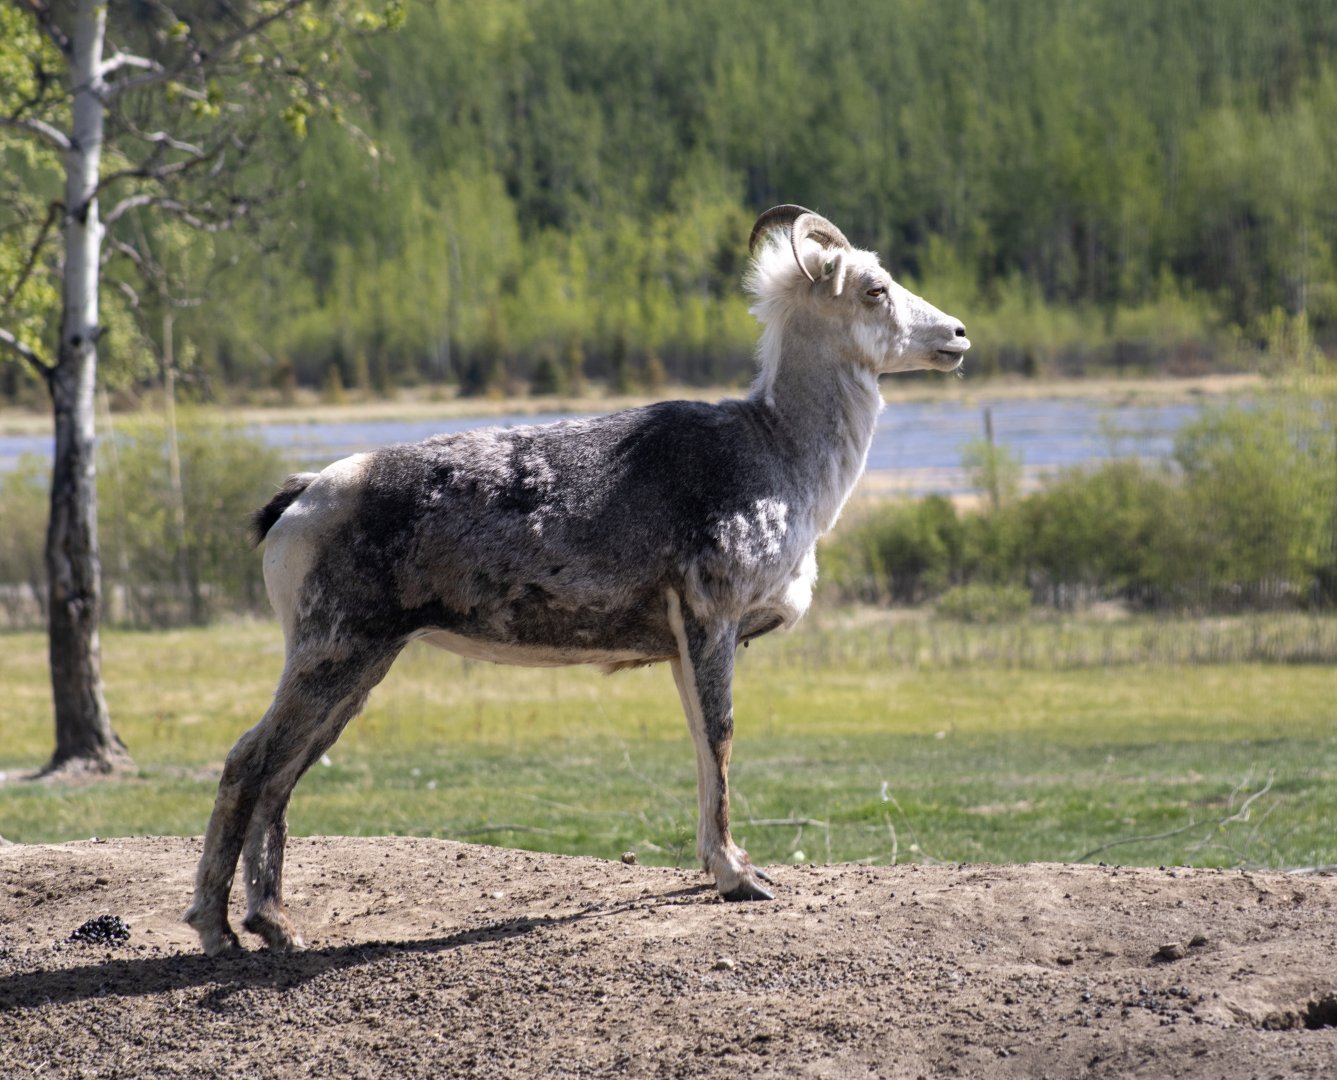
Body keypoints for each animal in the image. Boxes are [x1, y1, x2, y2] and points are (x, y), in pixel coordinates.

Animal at [184, 205, 969, 955]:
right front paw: (740, 878)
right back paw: (221, 930)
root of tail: (304, 497)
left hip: (362, 667)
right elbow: (719, 735)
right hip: (332, 653)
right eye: (874, 289)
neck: (781, 453)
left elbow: (698, 741)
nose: (957, 335)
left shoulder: (683, 646)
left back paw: (275, 927)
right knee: (249, 761)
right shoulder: (710, 620)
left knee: (282, 774)